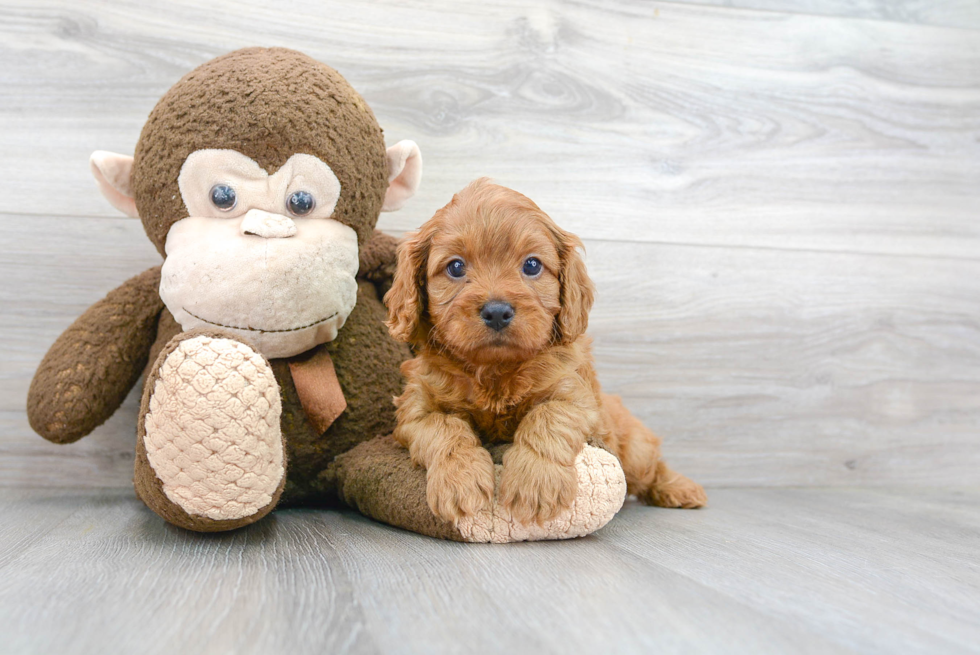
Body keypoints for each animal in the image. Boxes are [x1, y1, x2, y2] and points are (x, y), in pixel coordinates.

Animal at [384, 181, 704, 528]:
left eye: (532, 265)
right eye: (455, 267)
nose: (497, 312)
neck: (495, 371)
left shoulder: (576, 397)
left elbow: (547, 417)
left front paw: (534, 484)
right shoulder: (415, 409)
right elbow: (444, 428)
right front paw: (461, 480)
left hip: (634, 449)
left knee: (652, 468)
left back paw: (681, 489)